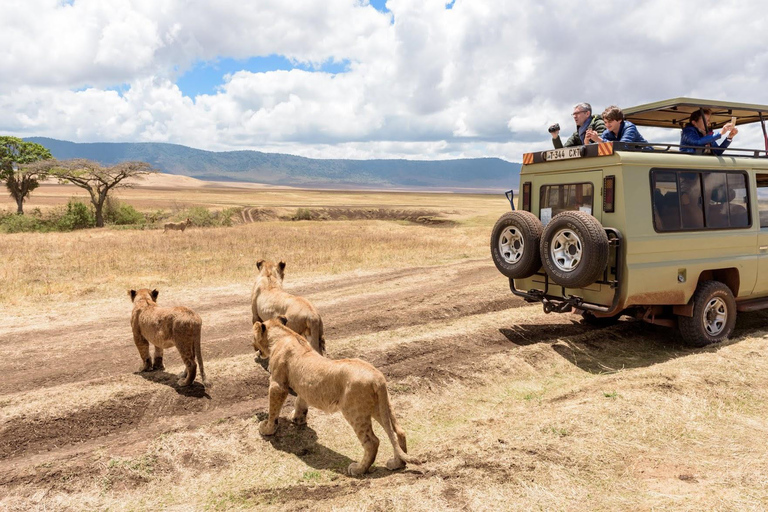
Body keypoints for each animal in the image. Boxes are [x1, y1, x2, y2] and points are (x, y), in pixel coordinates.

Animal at [254, 316, 420, 476]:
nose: (255, 350)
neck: (284, 335)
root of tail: (378, 378)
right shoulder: (303, 386)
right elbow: (301, 402)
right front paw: (297, 419)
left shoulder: (277, 385)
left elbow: (273, 410)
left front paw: (267, 429)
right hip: (381, 406)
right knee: (398, 432)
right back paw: (397, 464)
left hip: (354, 412)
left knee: (372, 442)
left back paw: (358, 469)